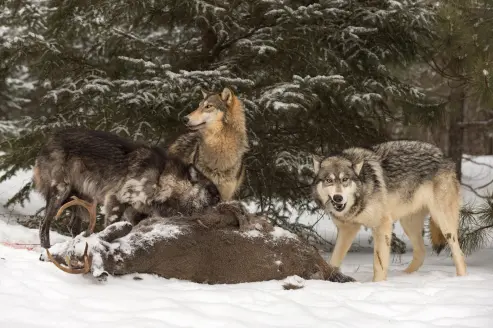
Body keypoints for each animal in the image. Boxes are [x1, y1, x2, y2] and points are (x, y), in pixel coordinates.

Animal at [33, 128, 221, 249]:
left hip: (83, 201)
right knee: (43, 226)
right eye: (214, 196)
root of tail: (49, 141)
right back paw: (46, 249)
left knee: (73, 227)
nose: (223, 207)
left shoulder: (136, 213)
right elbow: (111, 229)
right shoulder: (116, 202)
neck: (161, 177)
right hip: (60, 193)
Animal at [310, 140, 468, 282]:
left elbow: (379, 264)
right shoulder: (347, 229)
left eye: (345, 179)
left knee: (459, 253)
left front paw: (378, 285)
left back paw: (461, 279)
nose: (338, 198)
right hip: (409, 224)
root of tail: (445, 156)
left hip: (443, 222)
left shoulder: (382, 225)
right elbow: (334, 260)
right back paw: (404, 276)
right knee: (421, 252)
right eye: (328, 180)